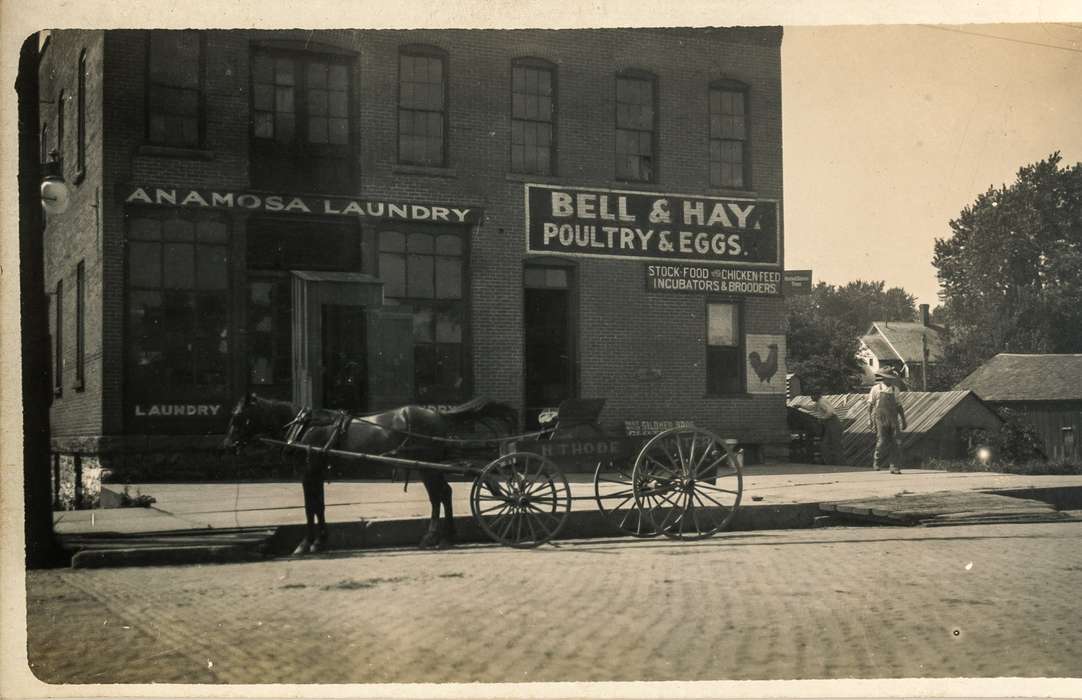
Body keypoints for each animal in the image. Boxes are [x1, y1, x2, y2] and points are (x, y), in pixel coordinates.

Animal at [219, 393, 515, 553]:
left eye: (237, 417)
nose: (227, 445)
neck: (303, 427)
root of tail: (438, 414)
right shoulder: (316, 474)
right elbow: (320, 507)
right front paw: (321, 541)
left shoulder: (308, 472)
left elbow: (309, 507)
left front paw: (305, 543)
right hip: (429, 467)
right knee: (445, 494)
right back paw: (445, 537)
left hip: (426, 467)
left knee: (438, 496)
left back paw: (437, 537)